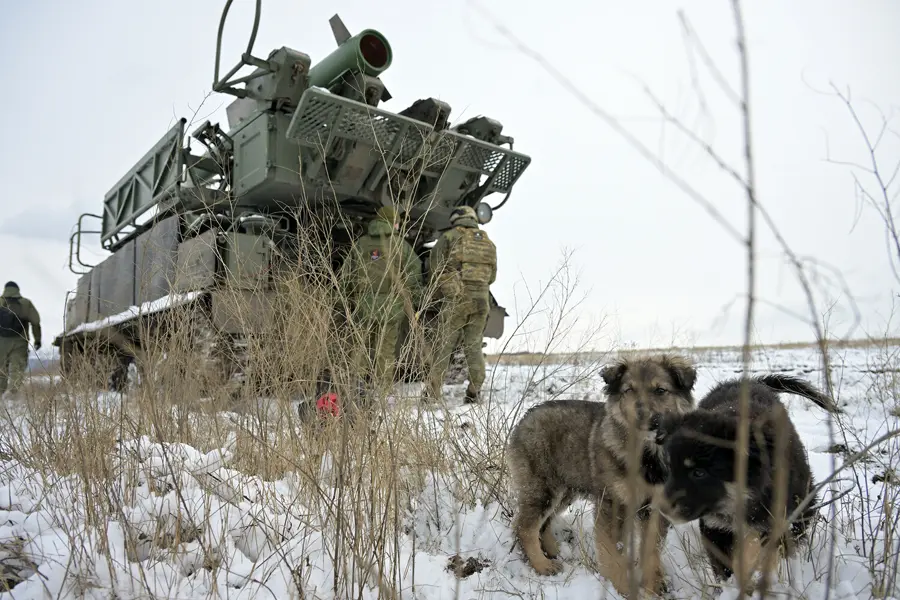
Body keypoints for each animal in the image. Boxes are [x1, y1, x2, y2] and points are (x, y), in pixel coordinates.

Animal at [506, 354, 696, 592]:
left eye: (660, 390)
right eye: (629, 390)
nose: (642, 417)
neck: (646, 453)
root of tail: (524, 418)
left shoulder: (654, 507)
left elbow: (651, 549)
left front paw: (653, 584)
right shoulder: (612, 504)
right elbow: (613, 553)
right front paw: (622, 589)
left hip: (565, 489)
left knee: (544, 523)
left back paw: (552, 551)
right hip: (542, 488)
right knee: (525, 527)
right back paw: (542, 565)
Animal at [652, 376, 840, 592]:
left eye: (699, 473)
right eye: (669, 467)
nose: (661, 509)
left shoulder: (779, 520)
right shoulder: (715, 527)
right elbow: (724, 566)